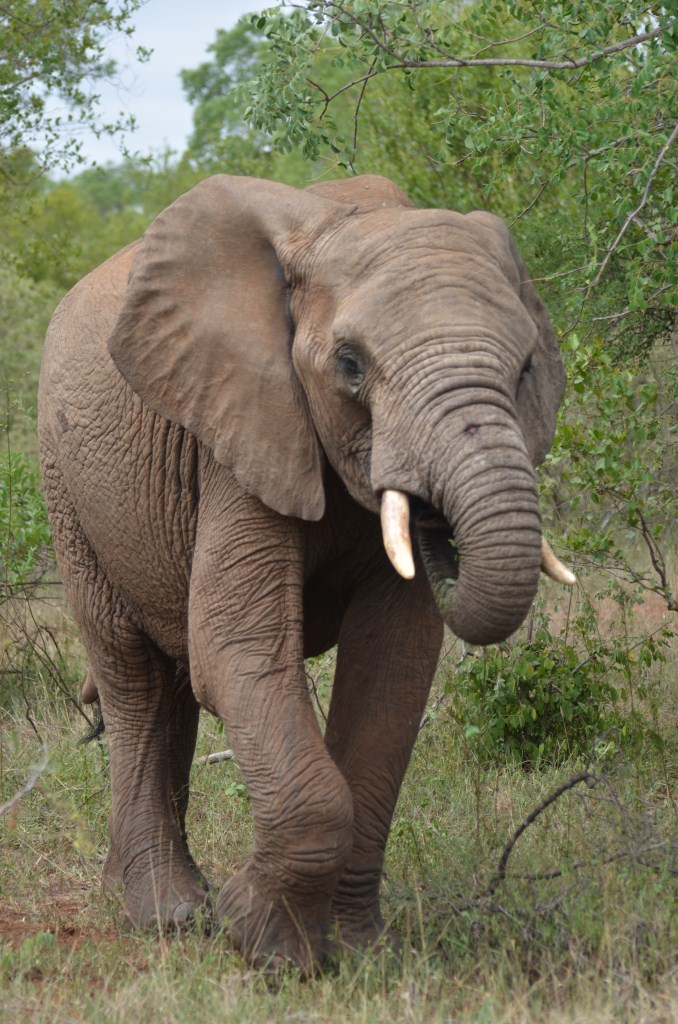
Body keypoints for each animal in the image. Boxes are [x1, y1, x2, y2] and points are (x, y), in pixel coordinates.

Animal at [38, 173, 574, 973]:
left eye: (526, 369)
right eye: (349, 364)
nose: (436, 523)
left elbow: (393, 669)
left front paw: (359, 951)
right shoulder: (237, 433)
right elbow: (237, 650)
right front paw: (267, 946)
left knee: (173, 683)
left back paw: (148, 892)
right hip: (68, 490)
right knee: (133, 672)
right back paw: (167, 914)